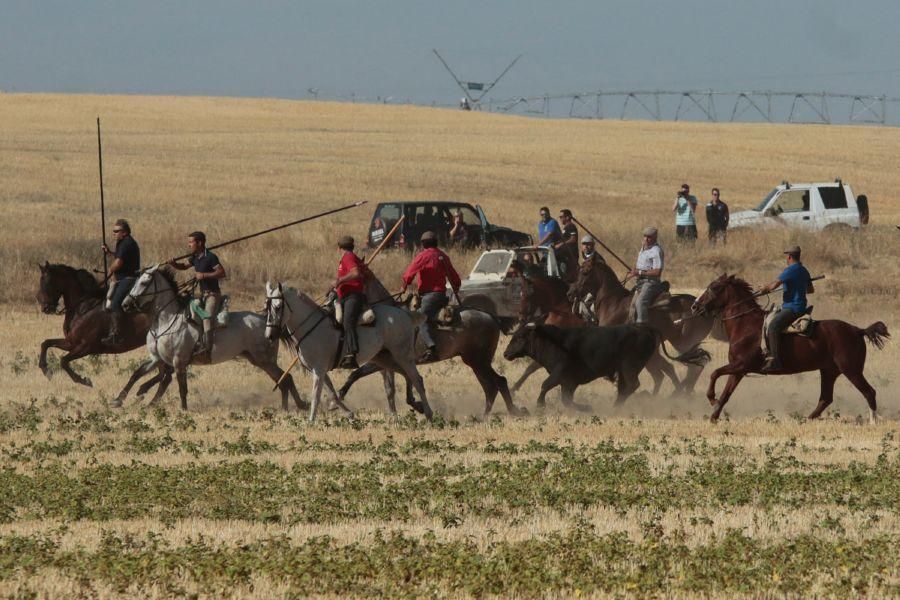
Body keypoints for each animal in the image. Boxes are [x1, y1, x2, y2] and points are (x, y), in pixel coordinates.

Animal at [118, 268, 306, 412]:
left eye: (144, 283)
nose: (125, 304)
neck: (168, 320)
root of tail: (268, 324)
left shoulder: (178, 360)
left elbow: (181, 386)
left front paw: (183, 409)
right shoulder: (157, 358)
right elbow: (137, 373)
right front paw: (119, 399)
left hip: (265, 360)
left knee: (285, 379)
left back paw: (292, 406)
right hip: (258, 360)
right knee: (284, 380)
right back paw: (294, 406)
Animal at [264, 282, 432, 422]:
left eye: (278, 307)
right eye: (266, 307)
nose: (269, 336)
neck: (310, 326)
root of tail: (405, 314)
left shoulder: (318, 370)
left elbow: (316, 396)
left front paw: (311, 421)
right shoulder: (320, 371)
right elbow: (332, 393)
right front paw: (349, 414)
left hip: (403, 356)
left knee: (416, 379)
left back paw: (429, 414)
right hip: (384, 359)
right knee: (409, 376)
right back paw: (418, 406)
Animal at [502, 324, 708, 412]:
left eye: (520, 337)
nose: (505, 353)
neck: (553, 342)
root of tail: (646, 328)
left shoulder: (560, 374)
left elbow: (545, 385)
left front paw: (540, 404)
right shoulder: (569, 381)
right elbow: (566, 399)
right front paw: (585, 407)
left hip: (629, 366)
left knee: (632, 385)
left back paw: (616, 406)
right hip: (627, 369)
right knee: (627, 386)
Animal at [572, 255, 728, 396]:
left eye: (585, 272)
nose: (571, 291)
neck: (612, 302)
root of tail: (704, 309)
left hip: (684, 342)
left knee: (693, 367)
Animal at [692, 274, 888, 422]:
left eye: (714, 287)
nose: (695, 306)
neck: (745, 325)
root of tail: (857, 330)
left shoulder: (741, 365)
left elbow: (714, 373)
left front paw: (712, 399)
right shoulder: (738, 370)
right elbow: (726, 393)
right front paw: (714, 416)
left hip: (851, 370)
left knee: (869, 392)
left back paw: (873, 422)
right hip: (829, 371)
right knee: (826, 398)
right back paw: (807, 419)